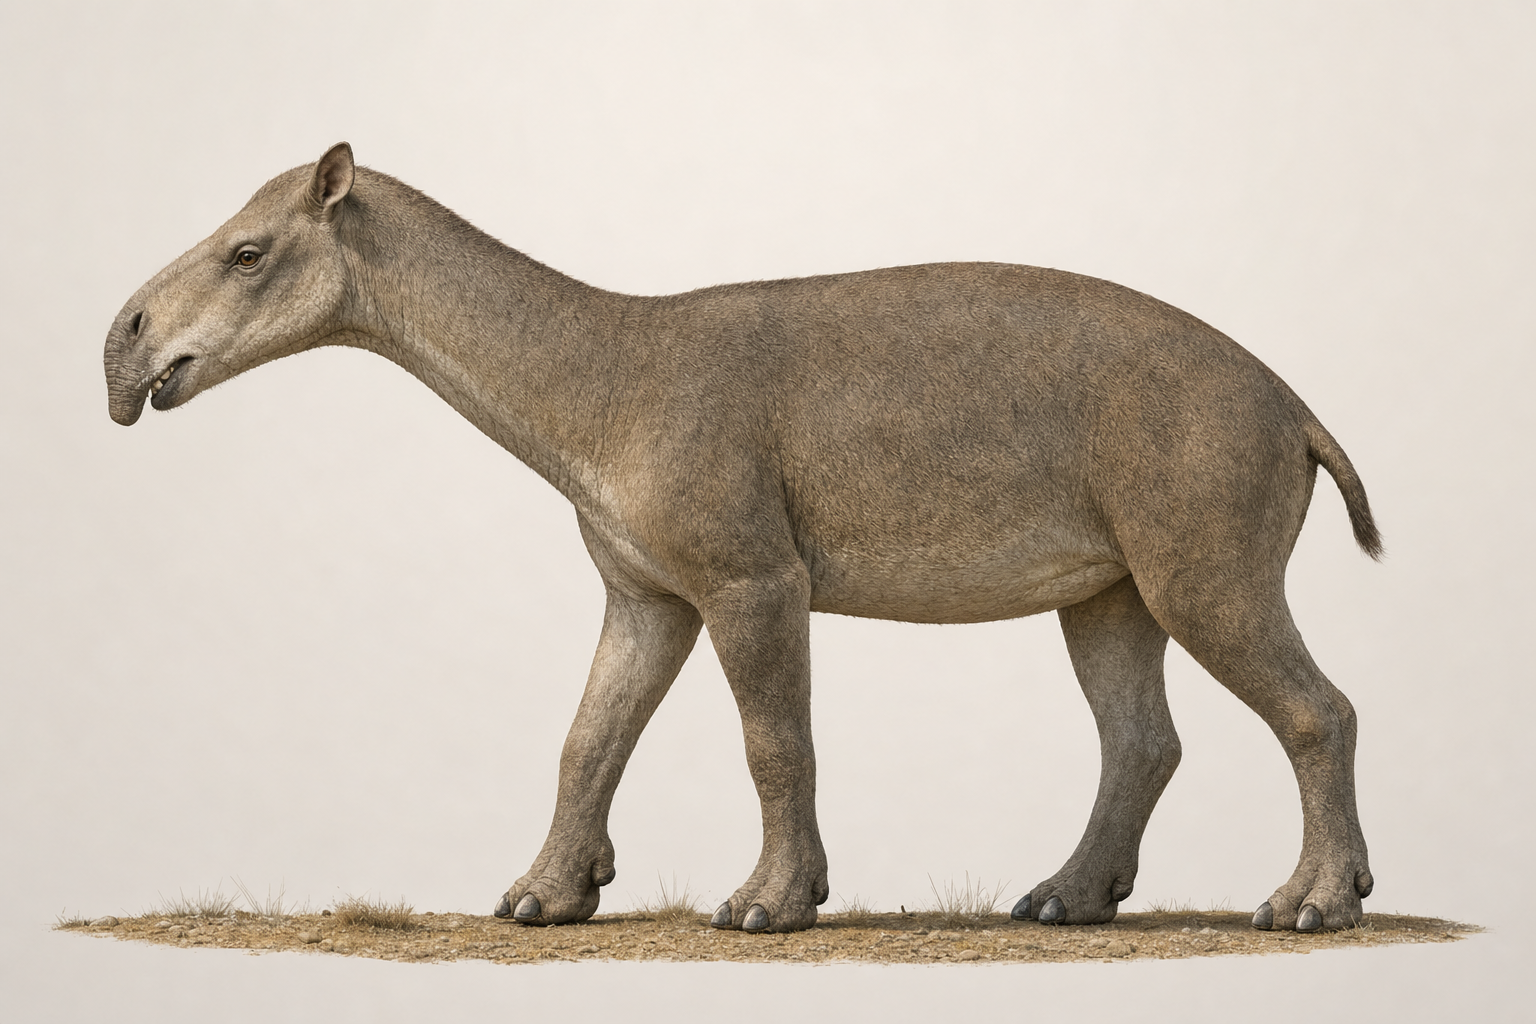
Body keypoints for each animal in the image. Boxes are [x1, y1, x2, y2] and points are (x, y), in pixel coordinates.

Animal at [104, 143, 1381, 935]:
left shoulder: (750, 575)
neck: (600, 382)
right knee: (1142, 739)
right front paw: (543, 898)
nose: (123, 342)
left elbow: (775, 742)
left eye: (248, 252)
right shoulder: (646, 591)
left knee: (1317, 708)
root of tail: (1300, 412)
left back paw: (1314, 902)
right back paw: (1066, 897)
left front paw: (768, 903)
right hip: (1110, 586)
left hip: (1203, 554)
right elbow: (588, 738)